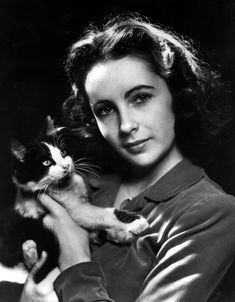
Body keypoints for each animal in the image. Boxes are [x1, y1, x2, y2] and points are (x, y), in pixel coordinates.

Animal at [0, 116, 148, 284]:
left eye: (63, 152)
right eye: (46, 163)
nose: (66, 166)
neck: (67, 186)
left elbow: (97, 229)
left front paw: (119, 232)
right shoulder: (78, 210)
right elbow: (107, 213)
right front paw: (134, 222)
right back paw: (29, 250)